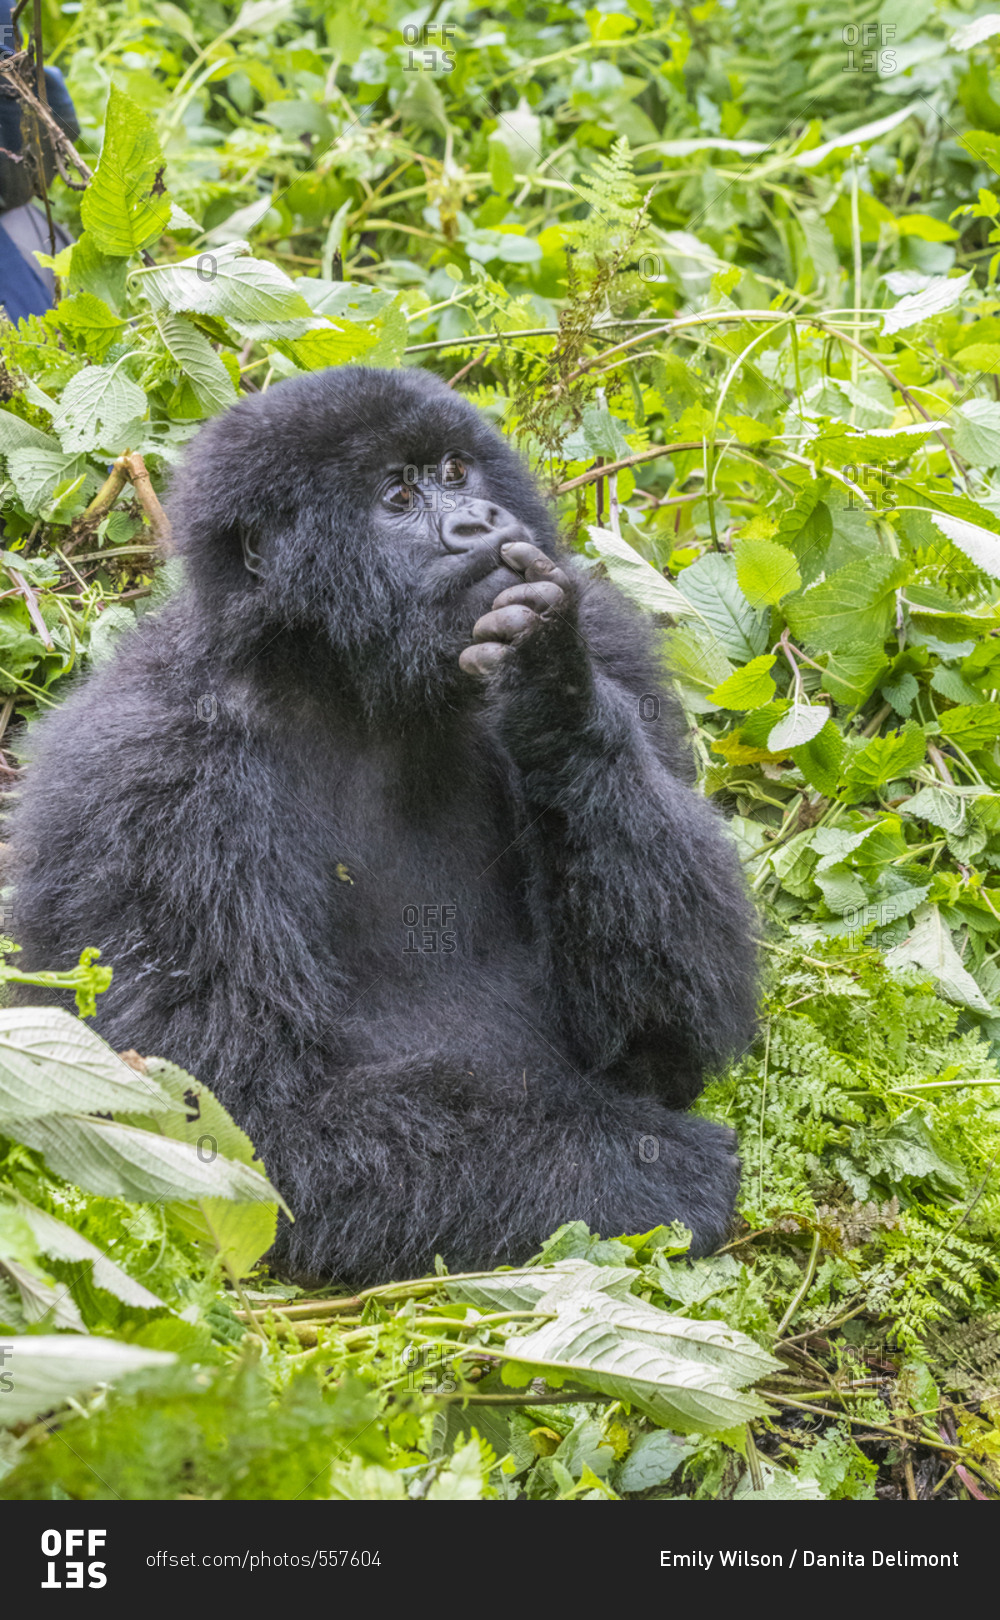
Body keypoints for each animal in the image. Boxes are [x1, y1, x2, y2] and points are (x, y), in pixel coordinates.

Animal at [9, 372, 755, 1283]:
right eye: (397, 498)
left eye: (457, 470)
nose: (478, 521)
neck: (342, 680)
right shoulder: (145, 781)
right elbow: (247, 1117)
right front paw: (661, 1169)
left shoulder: (620, 650)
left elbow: (659, 1044)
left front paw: (556, 696)